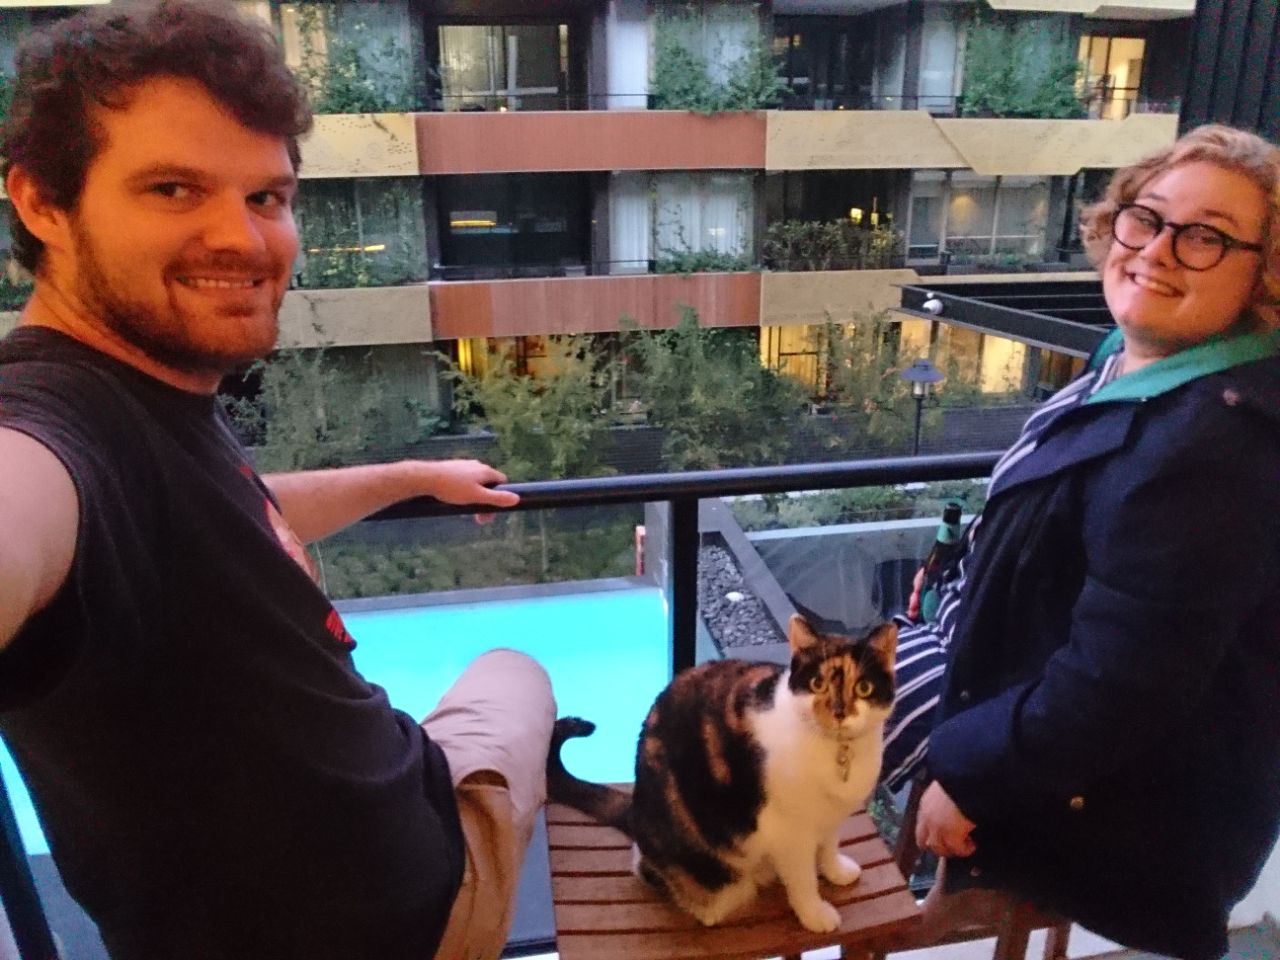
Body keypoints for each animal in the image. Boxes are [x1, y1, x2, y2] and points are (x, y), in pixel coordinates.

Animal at [545, 611, 896, 936]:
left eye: (864, 687)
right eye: (817, 684)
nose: (839, 712)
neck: (838, 754)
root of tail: (635, 811)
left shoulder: (830, 817)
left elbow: (829, 845)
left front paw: (836, 870)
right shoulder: (790, 832)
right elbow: (803, 879)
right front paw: (815, 913)